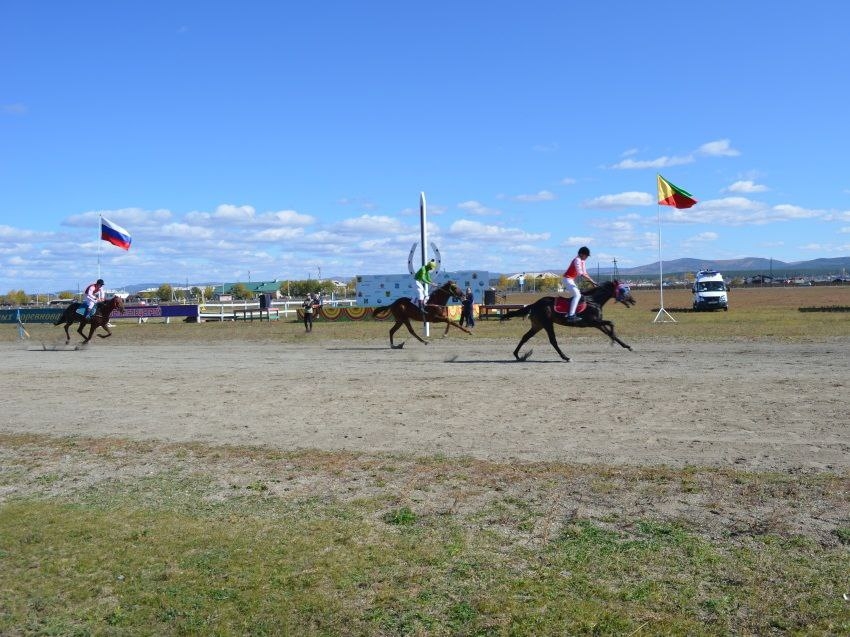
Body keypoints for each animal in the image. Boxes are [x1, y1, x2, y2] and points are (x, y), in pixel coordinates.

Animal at [500, 280, 632, 360]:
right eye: (623, 290)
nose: (633, 301)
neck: (593, 301)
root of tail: (535, 304)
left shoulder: (598, 323)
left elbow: (610, 332)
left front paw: (626, 346)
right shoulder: (592, 322)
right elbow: (611, 323)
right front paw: (613, 341)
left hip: (538, 325)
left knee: (525, 337)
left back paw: (517, 355)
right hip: (547, 323)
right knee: (553, 341)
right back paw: (565, 357)